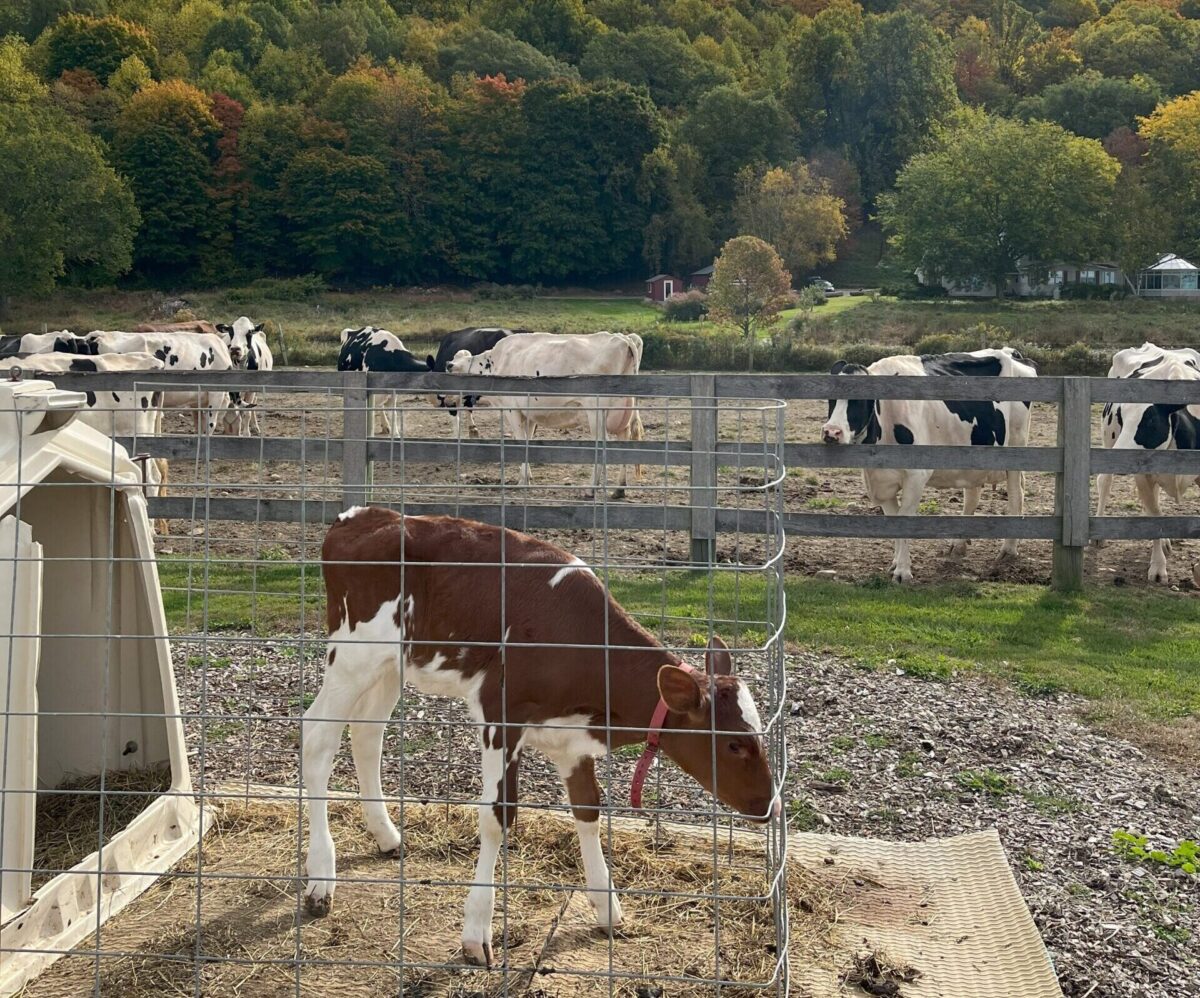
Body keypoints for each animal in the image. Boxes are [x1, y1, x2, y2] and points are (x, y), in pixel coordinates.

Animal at [303, 507, 779, 966]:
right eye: (734, 744)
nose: (771, 806)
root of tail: (363, 515)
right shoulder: (499, 714)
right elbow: (497, 816)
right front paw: (477, 932)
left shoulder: (571, 738)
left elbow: (588, 808)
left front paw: (607, 906)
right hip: (352, 654)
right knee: (318, 736)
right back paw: (320, 877)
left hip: (392, 663)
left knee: (367, 732)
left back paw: (386, 836)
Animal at [445, 331, 645, 499]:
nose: (445, 401)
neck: (494, 362)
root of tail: (623, 338)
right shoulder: (529, 414)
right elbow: (528, 441)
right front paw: (526, 477)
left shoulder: (512, 409)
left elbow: (520, 442)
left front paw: (522, 482)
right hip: (622, 414)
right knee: (623, 442)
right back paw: (619, 489)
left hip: (596, 413)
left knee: (602, 445)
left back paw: (591, 489)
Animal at [821, 348, 1038, 583]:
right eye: (830, 399)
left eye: (860, 400)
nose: (831, 432)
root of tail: (1010, 352)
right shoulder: (882, 481)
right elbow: (893, 521)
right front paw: (896, 564)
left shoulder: (917, 475)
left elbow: (904, 519)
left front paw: (903, 572)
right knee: (972, 496)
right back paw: (958, 546)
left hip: (1016, 448)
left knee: (1016, 494)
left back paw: (1008, 550)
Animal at [1096, 343, 1200, 584]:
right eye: (1122, 416)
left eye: (1150, 420)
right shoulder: (1142, 476)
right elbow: (1155, 519)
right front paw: (1158, 568)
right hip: (1108, 439)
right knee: (1104, 481)